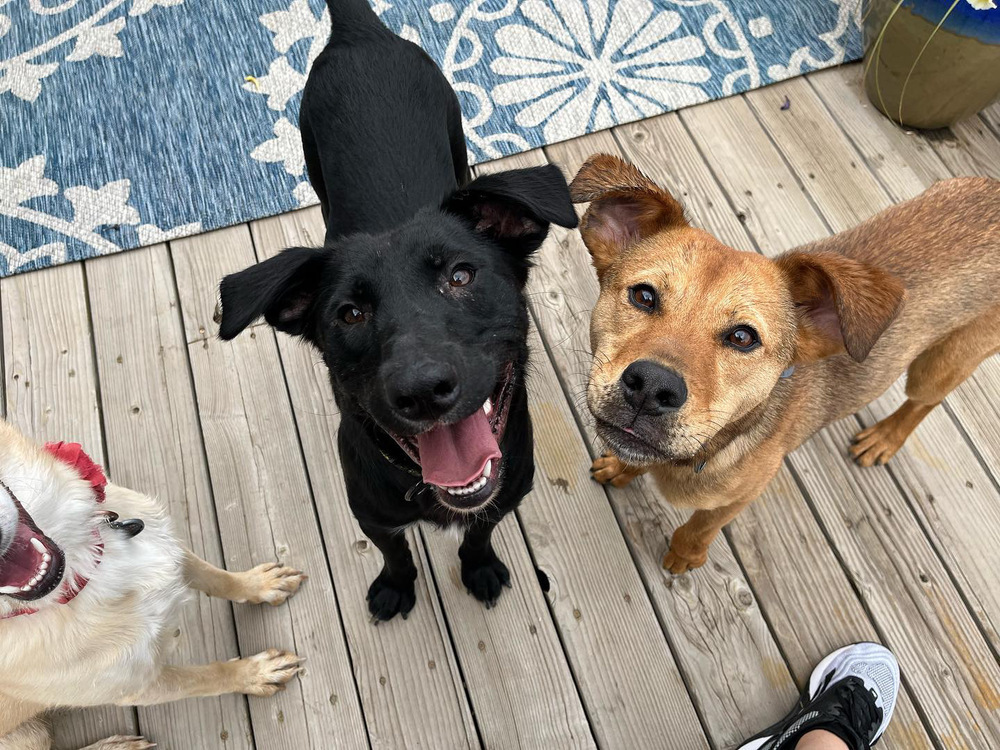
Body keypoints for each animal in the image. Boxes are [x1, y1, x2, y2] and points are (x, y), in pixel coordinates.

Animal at [0, 424, 304, 750]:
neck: (78, 579)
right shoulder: (137, 685)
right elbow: (206, 677)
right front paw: (256, 674)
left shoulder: (165, 545)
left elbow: (216, 577)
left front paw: (260, 584)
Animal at [219, 0, 580, 624]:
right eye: (349, 314)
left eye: (461, 275)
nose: (423, 390)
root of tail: (360, 30)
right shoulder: (372, 514)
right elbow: (394, 551)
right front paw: (395, 587)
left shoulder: (504, 495)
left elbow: (478, 532)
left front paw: (479, 567)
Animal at [572, 153, 1000, 576]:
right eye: (643, 296)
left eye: (742, 337)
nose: (650, 386)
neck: (721, 440)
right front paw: (622, 469)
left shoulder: (742, 494)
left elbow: (702, 525)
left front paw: (685, 555)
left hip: (944, 362)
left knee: (923, 402)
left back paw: (884, 438)